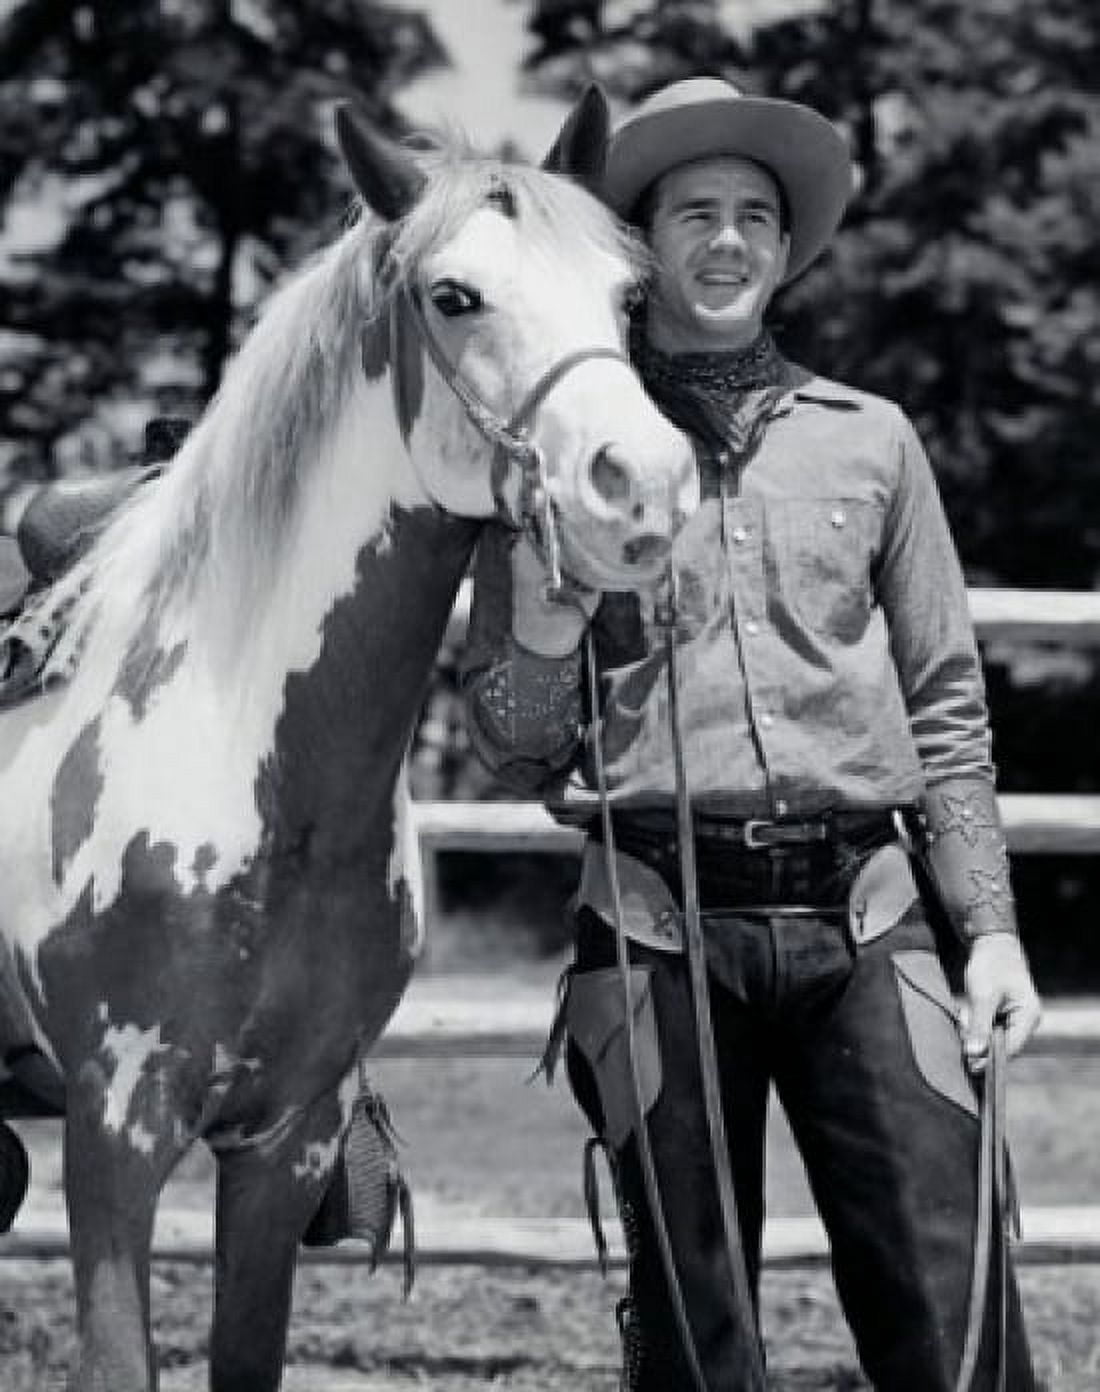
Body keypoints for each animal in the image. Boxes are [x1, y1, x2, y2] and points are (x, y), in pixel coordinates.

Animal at [0, 89, 697, 1391]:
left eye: (629, 297)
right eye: (453, 295)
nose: (645, 488)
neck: (259, 771)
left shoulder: (287, 1139)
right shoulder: (112, 1132)